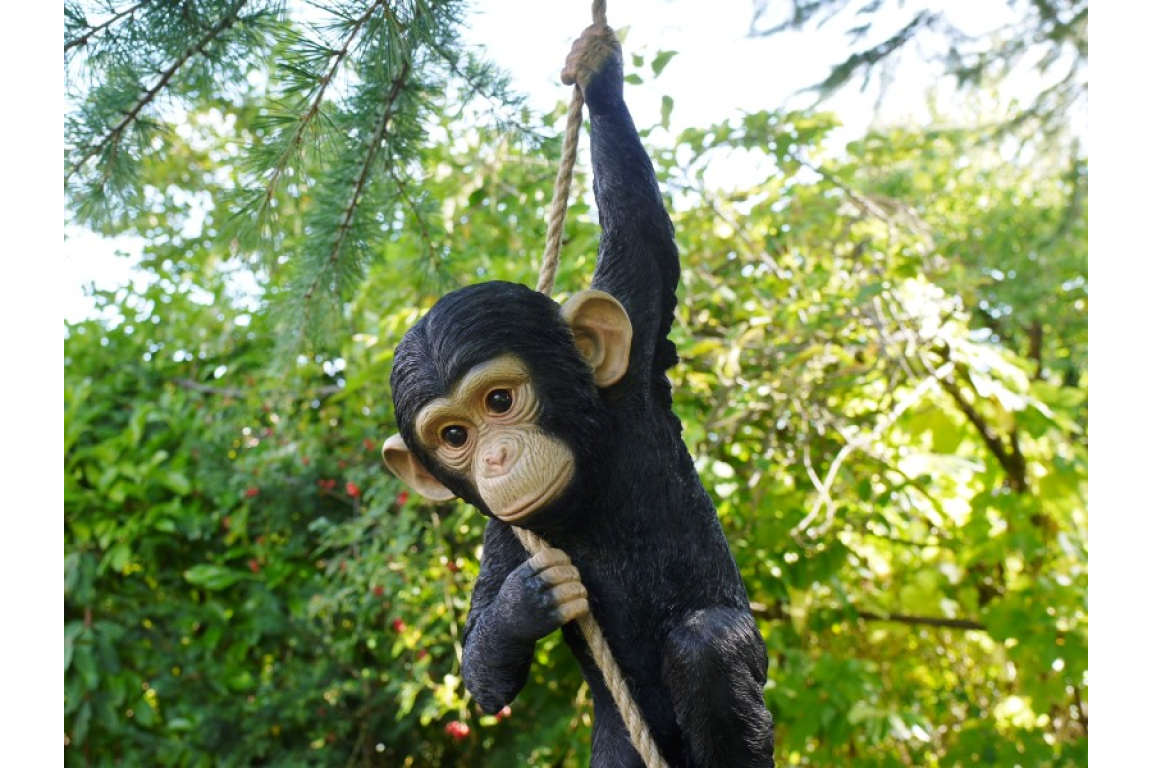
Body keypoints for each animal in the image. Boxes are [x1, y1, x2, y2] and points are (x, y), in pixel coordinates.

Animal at [383, 24, 775, 768]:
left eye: (499, 402)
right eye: (454, 436)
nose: (497, 457)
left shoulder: (636, 359)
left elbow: (642, 239)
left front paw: (598, 74)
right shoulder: (506, 532)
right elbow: (480, 667)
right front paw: (524, 604)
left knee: (709, 647)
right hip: (617, 738)